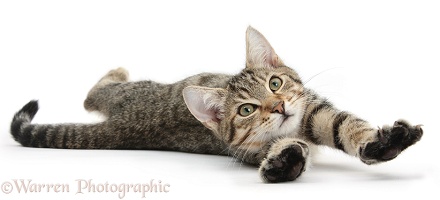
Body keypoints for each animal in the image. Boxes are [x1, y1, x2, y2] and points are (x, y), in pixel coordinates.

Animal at [11, 27, 422, 183]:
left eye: (275, 83)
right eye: (246, 110)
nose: (278, 107)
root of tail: (121, 125)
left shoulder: (315, 110)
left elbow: (345, 126)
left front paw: (382, 142)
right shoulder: (249, 149)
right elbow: (286, 148)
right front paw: (286, 161)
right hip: (126, 92)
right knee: (91, 93)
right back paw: (118, 68)